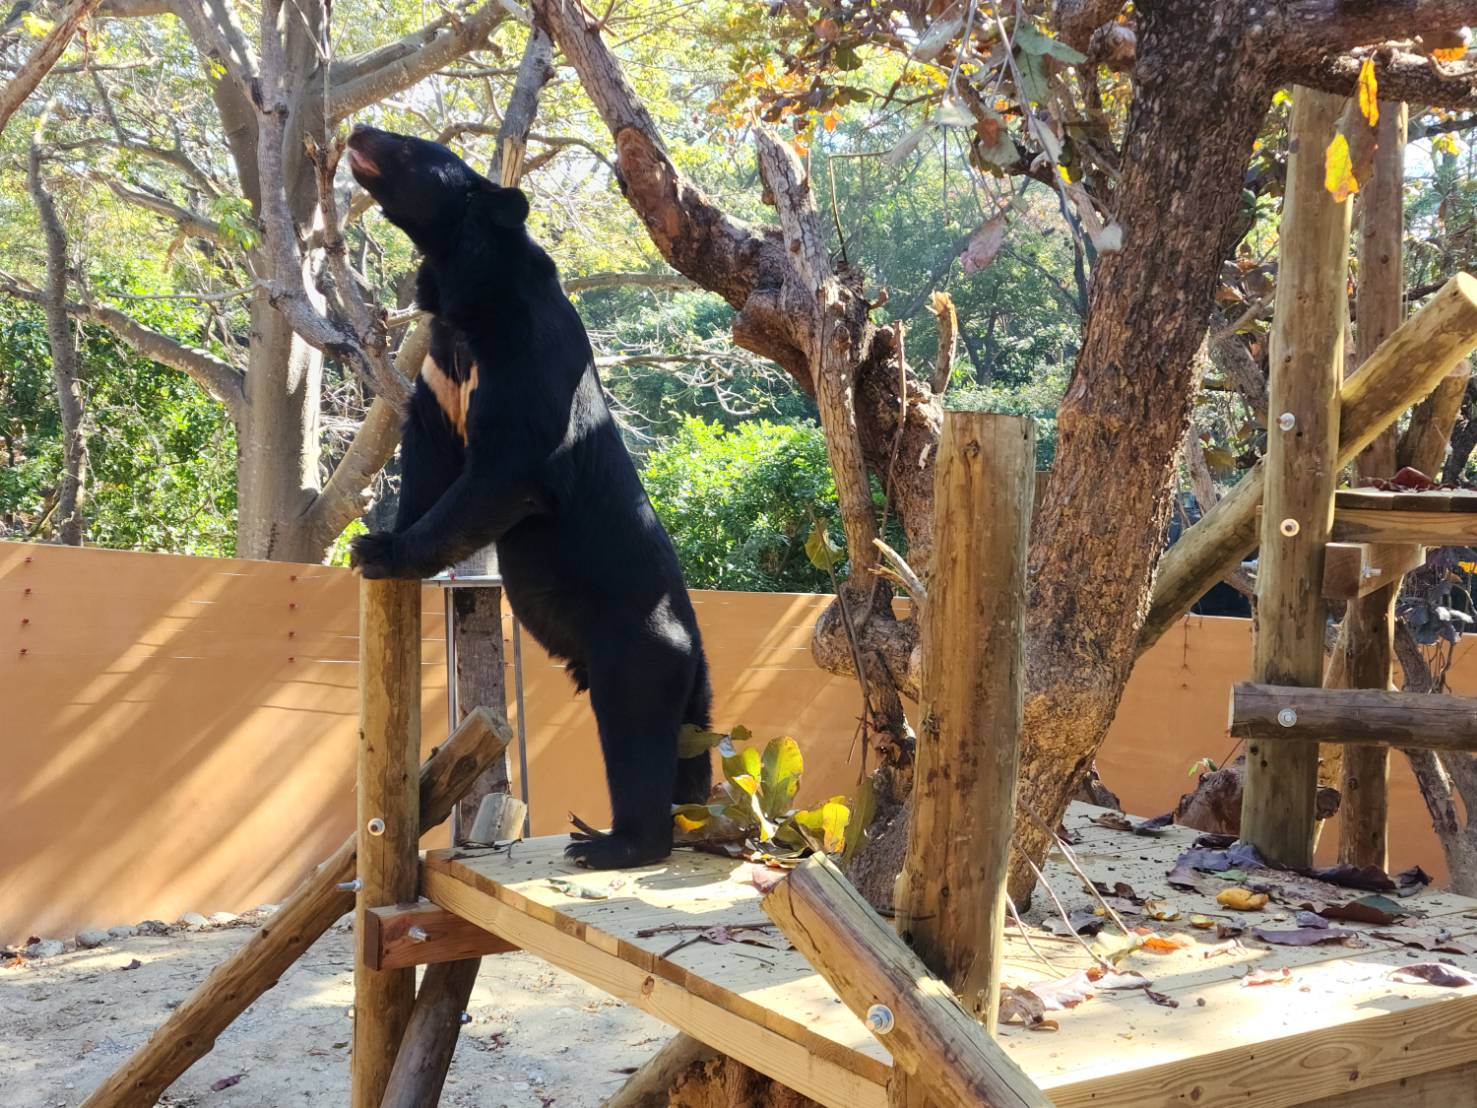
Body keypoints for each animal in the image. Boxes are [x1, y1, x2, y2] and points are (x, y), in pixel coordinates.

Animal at [345, 125, 714, 874]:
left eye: (408, 148)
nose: (359, 132)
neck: (470, 298)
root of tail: (691, 646)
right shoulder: (438, 378)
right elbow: (428, 456)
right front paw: (385, 541)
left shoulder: (525, 366)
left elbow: (505, 470)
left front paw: (377, 548)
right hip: (691, 691)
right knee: (687, 750)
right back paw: (690, 824)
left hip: (632, 646)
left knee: (632, 730)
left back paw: (607, 843)